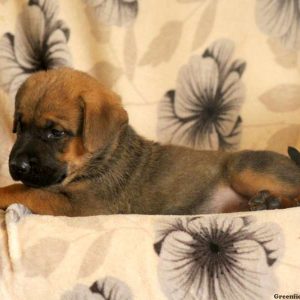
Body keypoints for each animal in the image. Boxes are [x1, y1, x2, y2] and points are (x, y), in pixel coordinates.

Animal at [0, 67, 298, 216]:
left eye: (56, 132)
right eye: (20, 126)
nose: (17, 166)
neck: (102, 157)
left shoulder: (84, 205)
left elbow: (27, 191)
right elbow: (27, 188)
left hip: (244, 169)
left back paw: (270, 202)